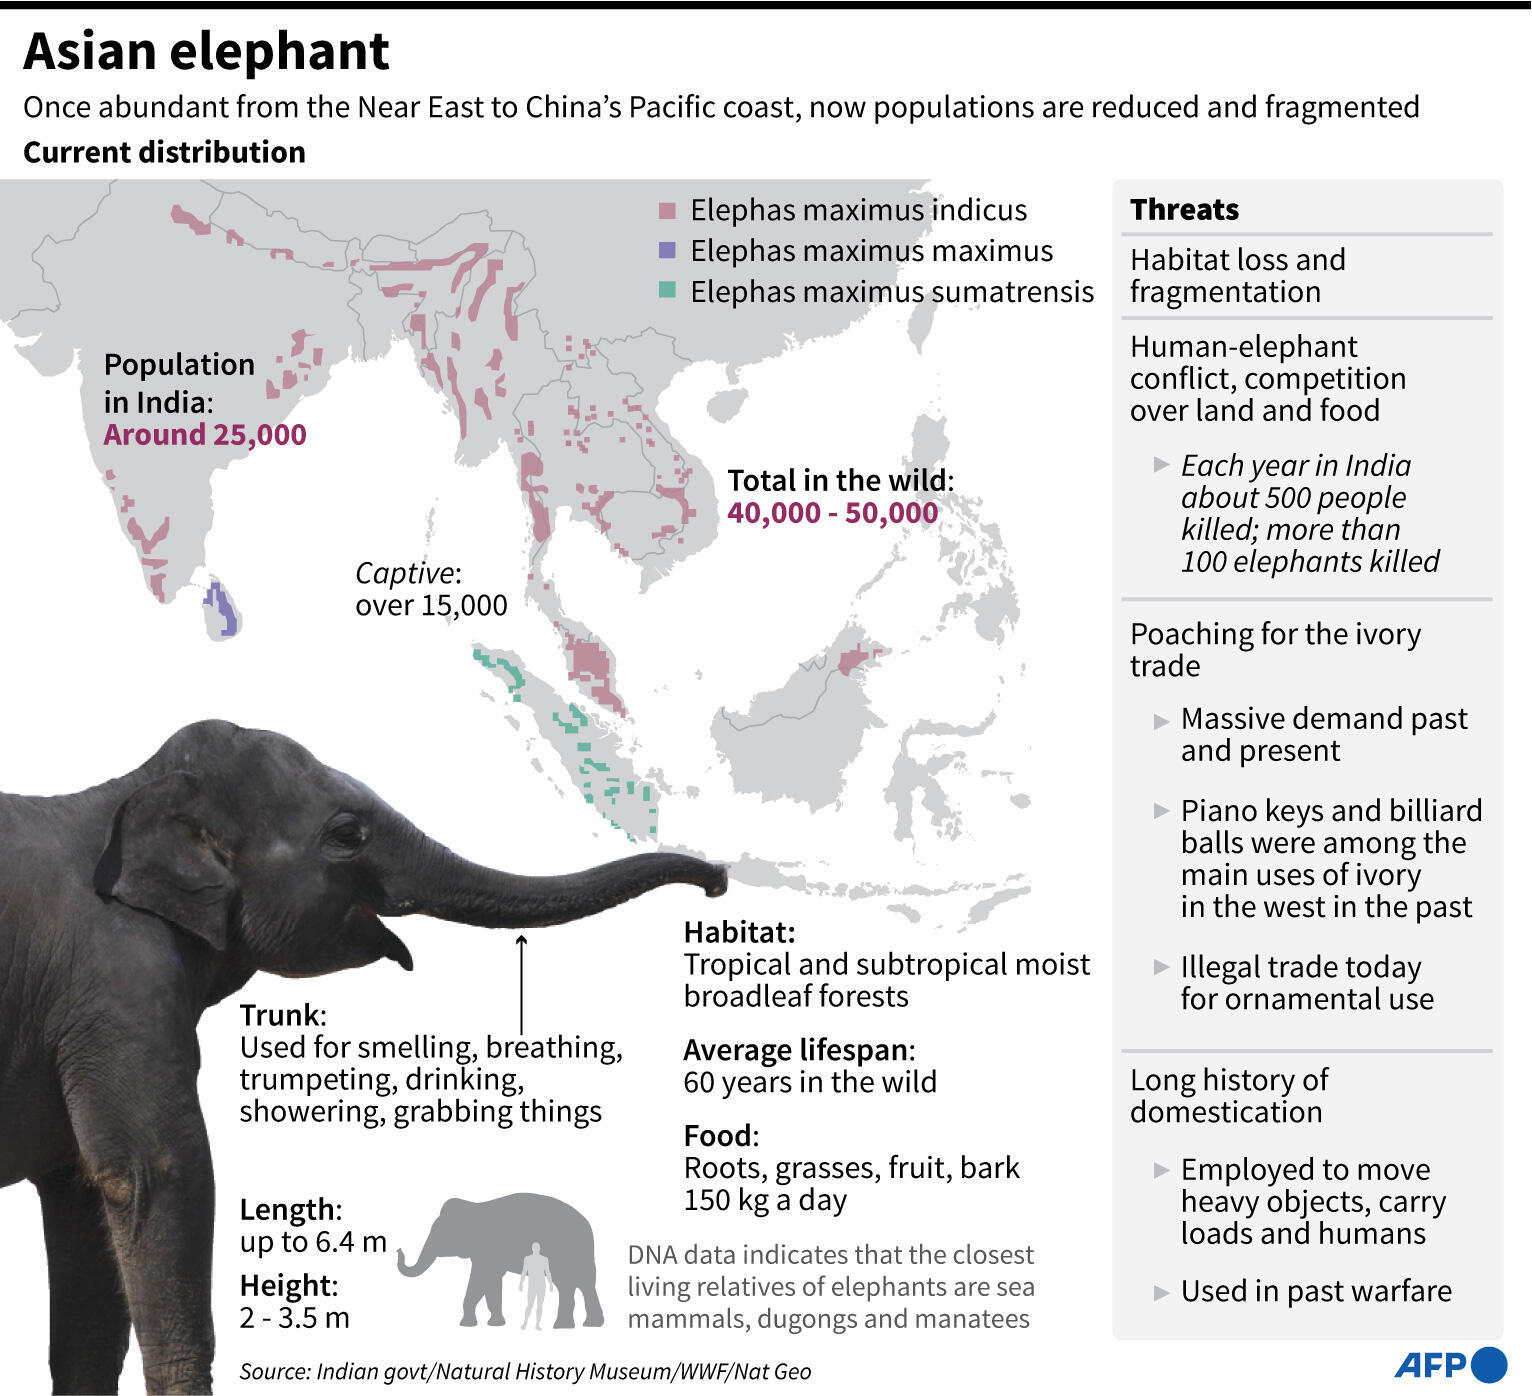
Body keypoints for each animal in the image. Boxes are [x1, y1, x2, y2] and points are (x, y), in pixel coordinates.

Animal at [397, 1192, 602, 1330]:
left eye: (440, 1234)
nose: (398, 1249)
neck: (474, 1208)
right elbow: (491, 1282)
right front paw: (495, 1323)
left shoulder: (487, 1251)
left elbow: (479, 1280)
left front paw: (466, 1324)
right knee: (581, 1284)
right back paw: (584, 1325)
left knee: (571, 1284)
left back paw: (566, 1325)